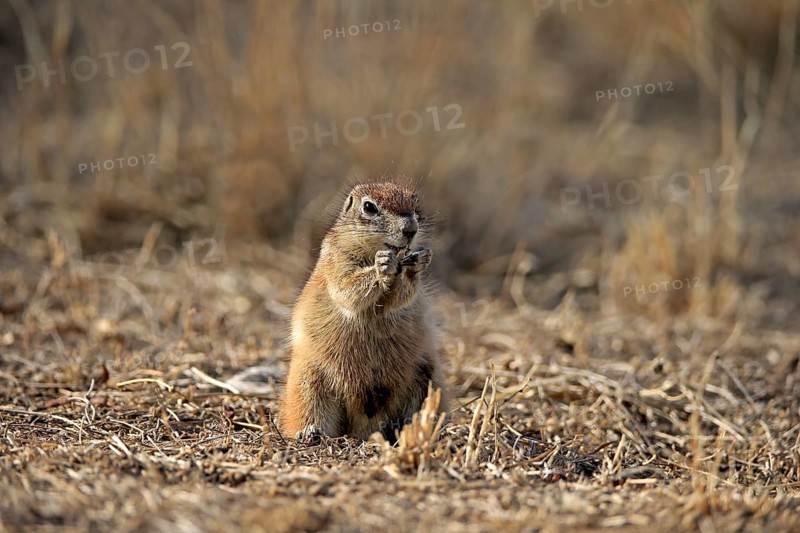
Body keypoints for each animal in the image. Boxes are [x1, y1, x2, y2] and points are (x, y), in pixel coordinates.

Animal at [280, 182, 446, 441]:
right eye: (369, 207)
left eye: (415, 203)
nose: (410, 229)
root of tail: (365, 427)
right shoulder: (336, 261)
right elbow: (347, 289)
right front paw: (382, 265)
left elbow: (401, 296)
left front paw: (418, 262)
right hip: (307, 381)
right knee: (309, 410)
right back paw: (310, 433)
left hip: (428, 375)